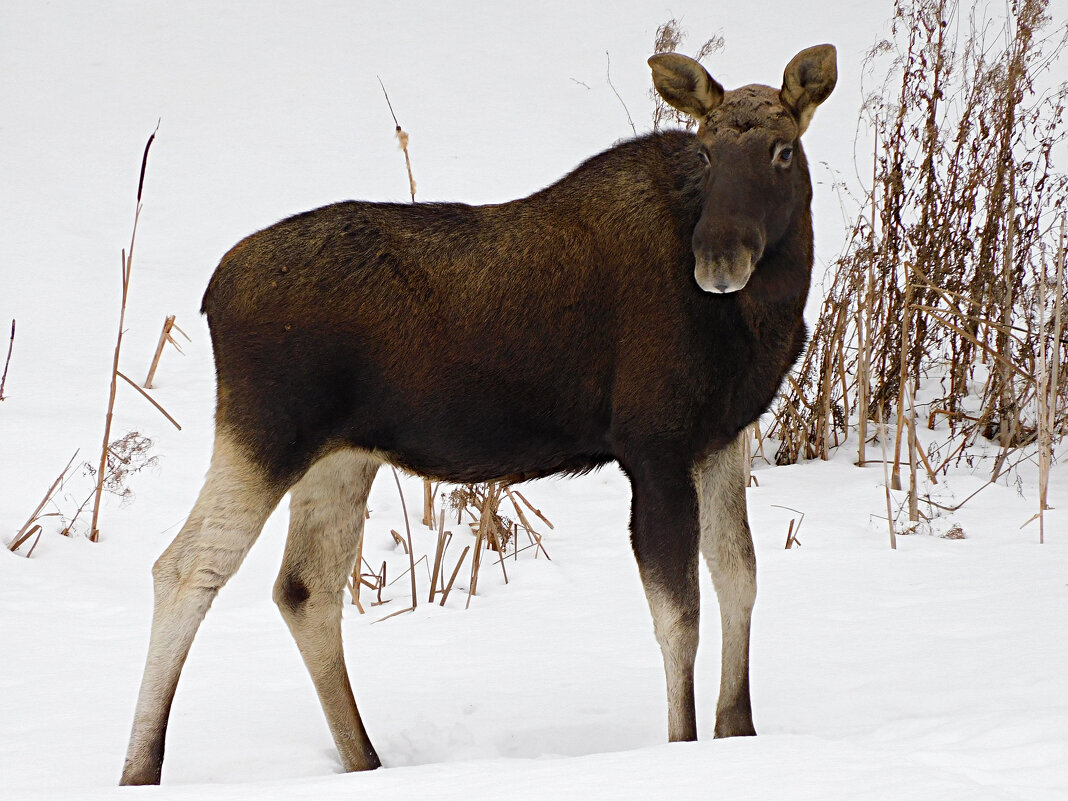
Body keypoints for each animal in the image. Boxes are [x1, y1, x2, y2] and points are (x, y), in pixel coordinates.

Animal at [119, 43, 833, 786]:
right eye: (707, 151)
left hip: (340, 456)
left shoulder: (719, 437)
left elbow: (739, 574)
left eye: (783, 150)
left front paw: (739, 729)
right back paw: (141, 768)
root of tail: (212, 293)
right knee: (186, 567)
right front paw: (684, 744)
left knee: (304, 588)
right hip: (266, 431)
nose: (719, 261)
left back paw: (364, 758)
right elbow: (679, 614)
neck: (759, 317)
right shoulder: (654, 445)